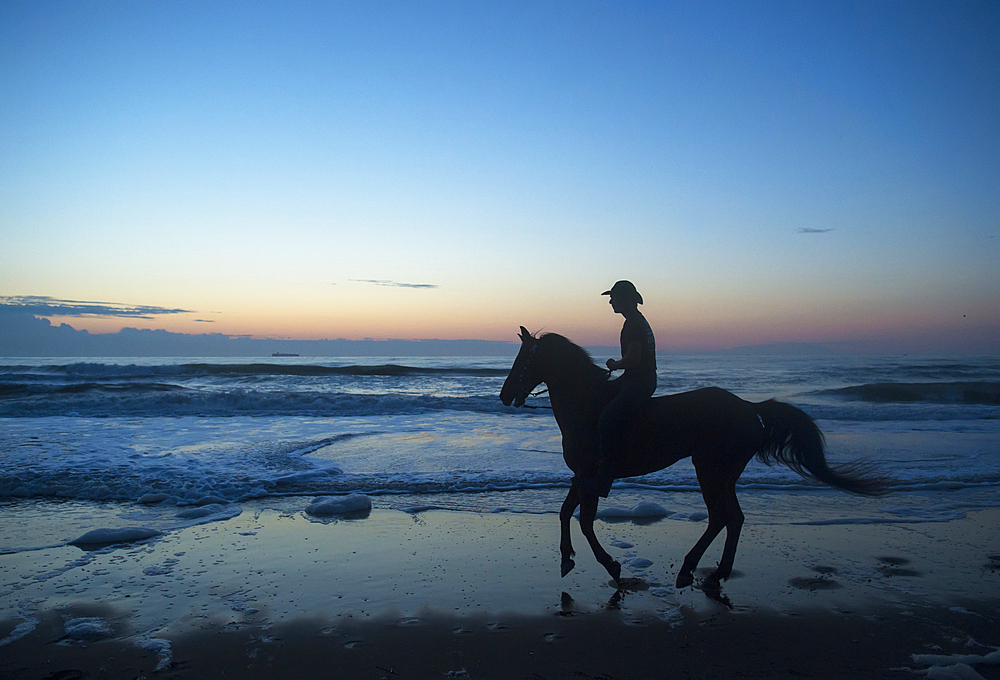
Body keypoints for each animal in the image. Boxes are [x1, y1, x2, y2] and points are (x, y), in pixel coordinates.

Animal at [498, 326, 884, 592]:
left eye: (524, 359)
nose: (504, 395)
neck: (587, 406)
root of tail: (749, 408)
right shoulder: (581, 476)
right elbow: (566, 513)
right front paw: (567, 558)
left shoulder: (592, 476)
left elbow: (585, 522)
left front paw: (611, 566)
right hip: (721, 473)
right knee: (733, 518)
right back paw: (715, 573)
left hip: (711, 470)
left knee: (721, 517)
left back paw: (691, 570)